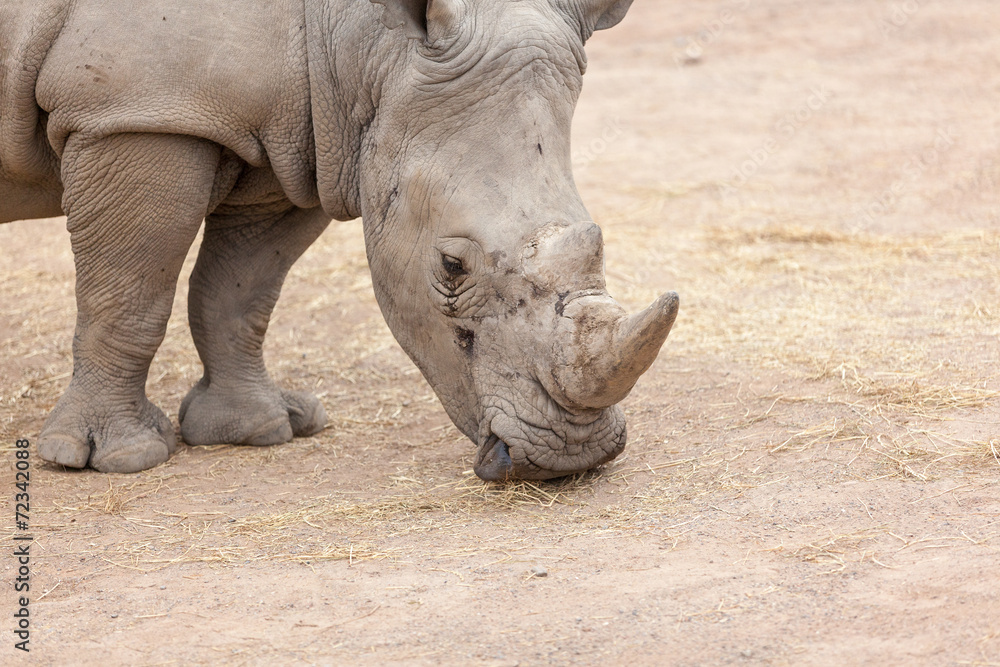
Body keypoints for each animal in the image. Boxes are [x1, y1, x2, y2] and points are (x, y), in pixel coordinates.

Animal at [0, 0, 678, 481]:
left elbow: (239, 293)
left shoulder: (295, 138)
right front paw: (116, 459)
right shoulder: (137, 112)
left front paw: (261, 430)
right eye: (451, 266)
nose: (571, 458)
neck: (361, 40)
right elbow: (127, 295)